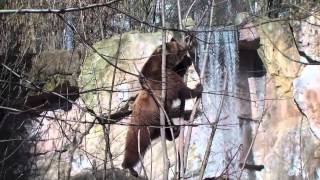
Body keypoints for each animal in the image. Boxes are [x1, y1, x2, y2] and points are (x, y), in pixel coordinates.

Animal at [121, 38, 201, 177]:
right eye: (178, 46)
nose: (185, 44)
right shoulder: (165, 80)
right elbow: (183, 90)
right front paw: (198, 87)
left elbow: (179, 72)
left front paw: (187, 60)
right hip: (142, 128)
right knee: (134, 149)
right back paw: (129, 167)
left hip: (157, 126)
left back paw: (174, 132)